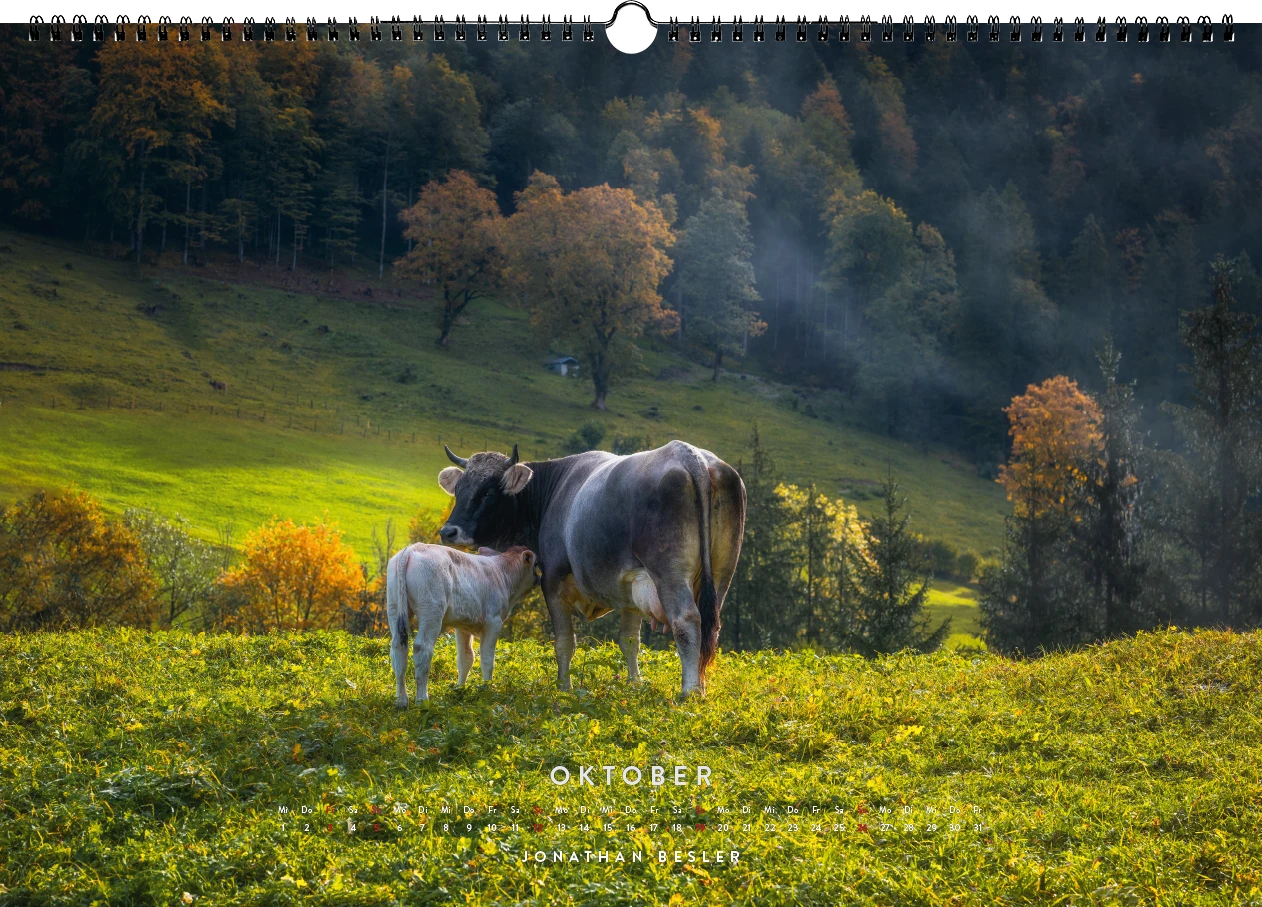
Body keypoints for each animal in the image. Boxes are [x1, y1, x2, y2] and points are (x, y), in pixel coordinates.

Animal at [388, 542, 537, 706]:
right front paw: (487, 689)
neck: (502, 573)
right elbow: (487, 659)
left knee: (398, 647)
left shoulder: (462, 626)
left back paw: (401, 701)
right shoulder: (494, 622)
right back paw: (422, 700)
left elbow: (465, 658)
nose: (538, 578)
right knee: (422, 648)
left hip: (394, 606)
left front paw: (460, 689)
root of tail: (412, 548)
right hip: (431, 611)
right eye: (536, 564)